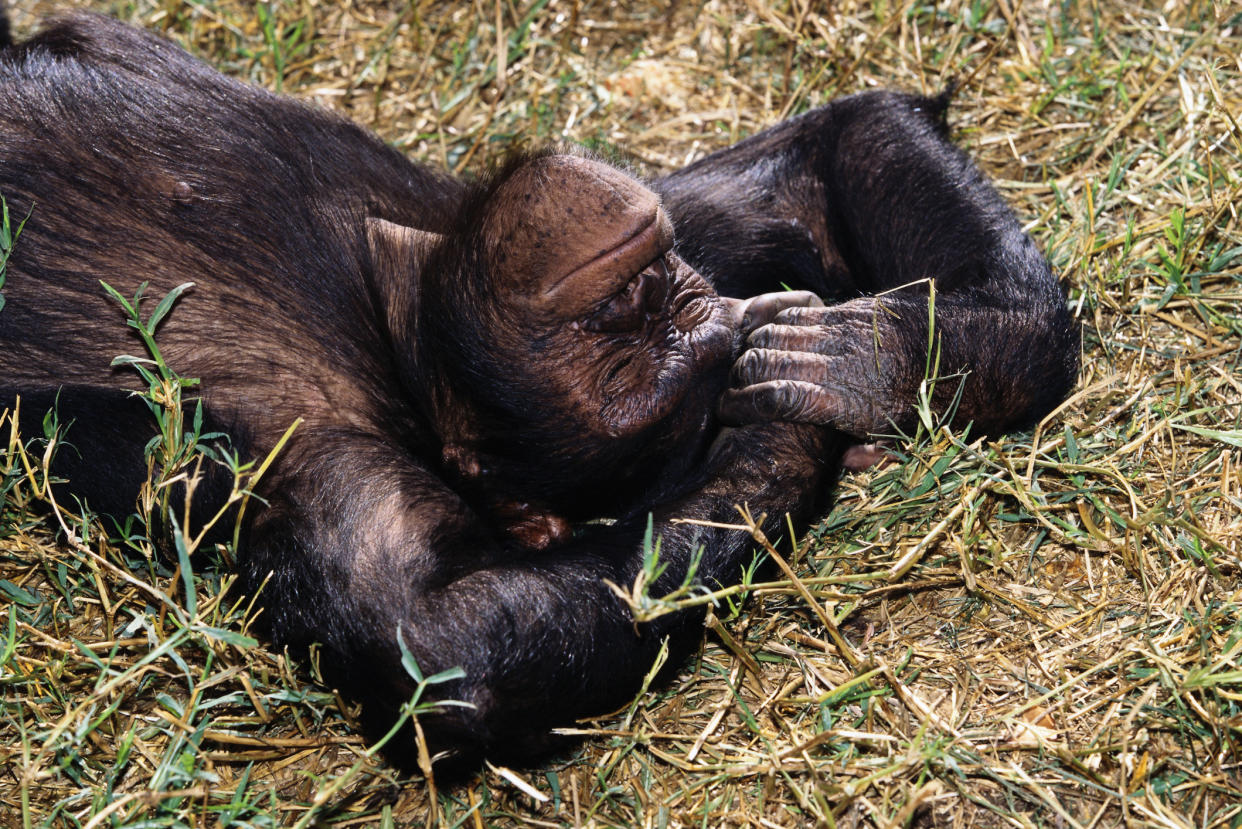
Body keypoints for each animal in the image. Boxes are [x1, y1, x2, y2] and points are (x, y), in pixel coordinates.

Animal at [0, 9, 1078, 770]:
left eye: (671, 300)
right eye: (630, 354)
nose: (641, 288)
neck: (395, 337)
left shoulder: (688, 230)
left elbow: (825, 155)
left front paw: (872, 360)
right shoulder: (329, 474)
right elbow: (439, 647)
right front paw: (783, 425)